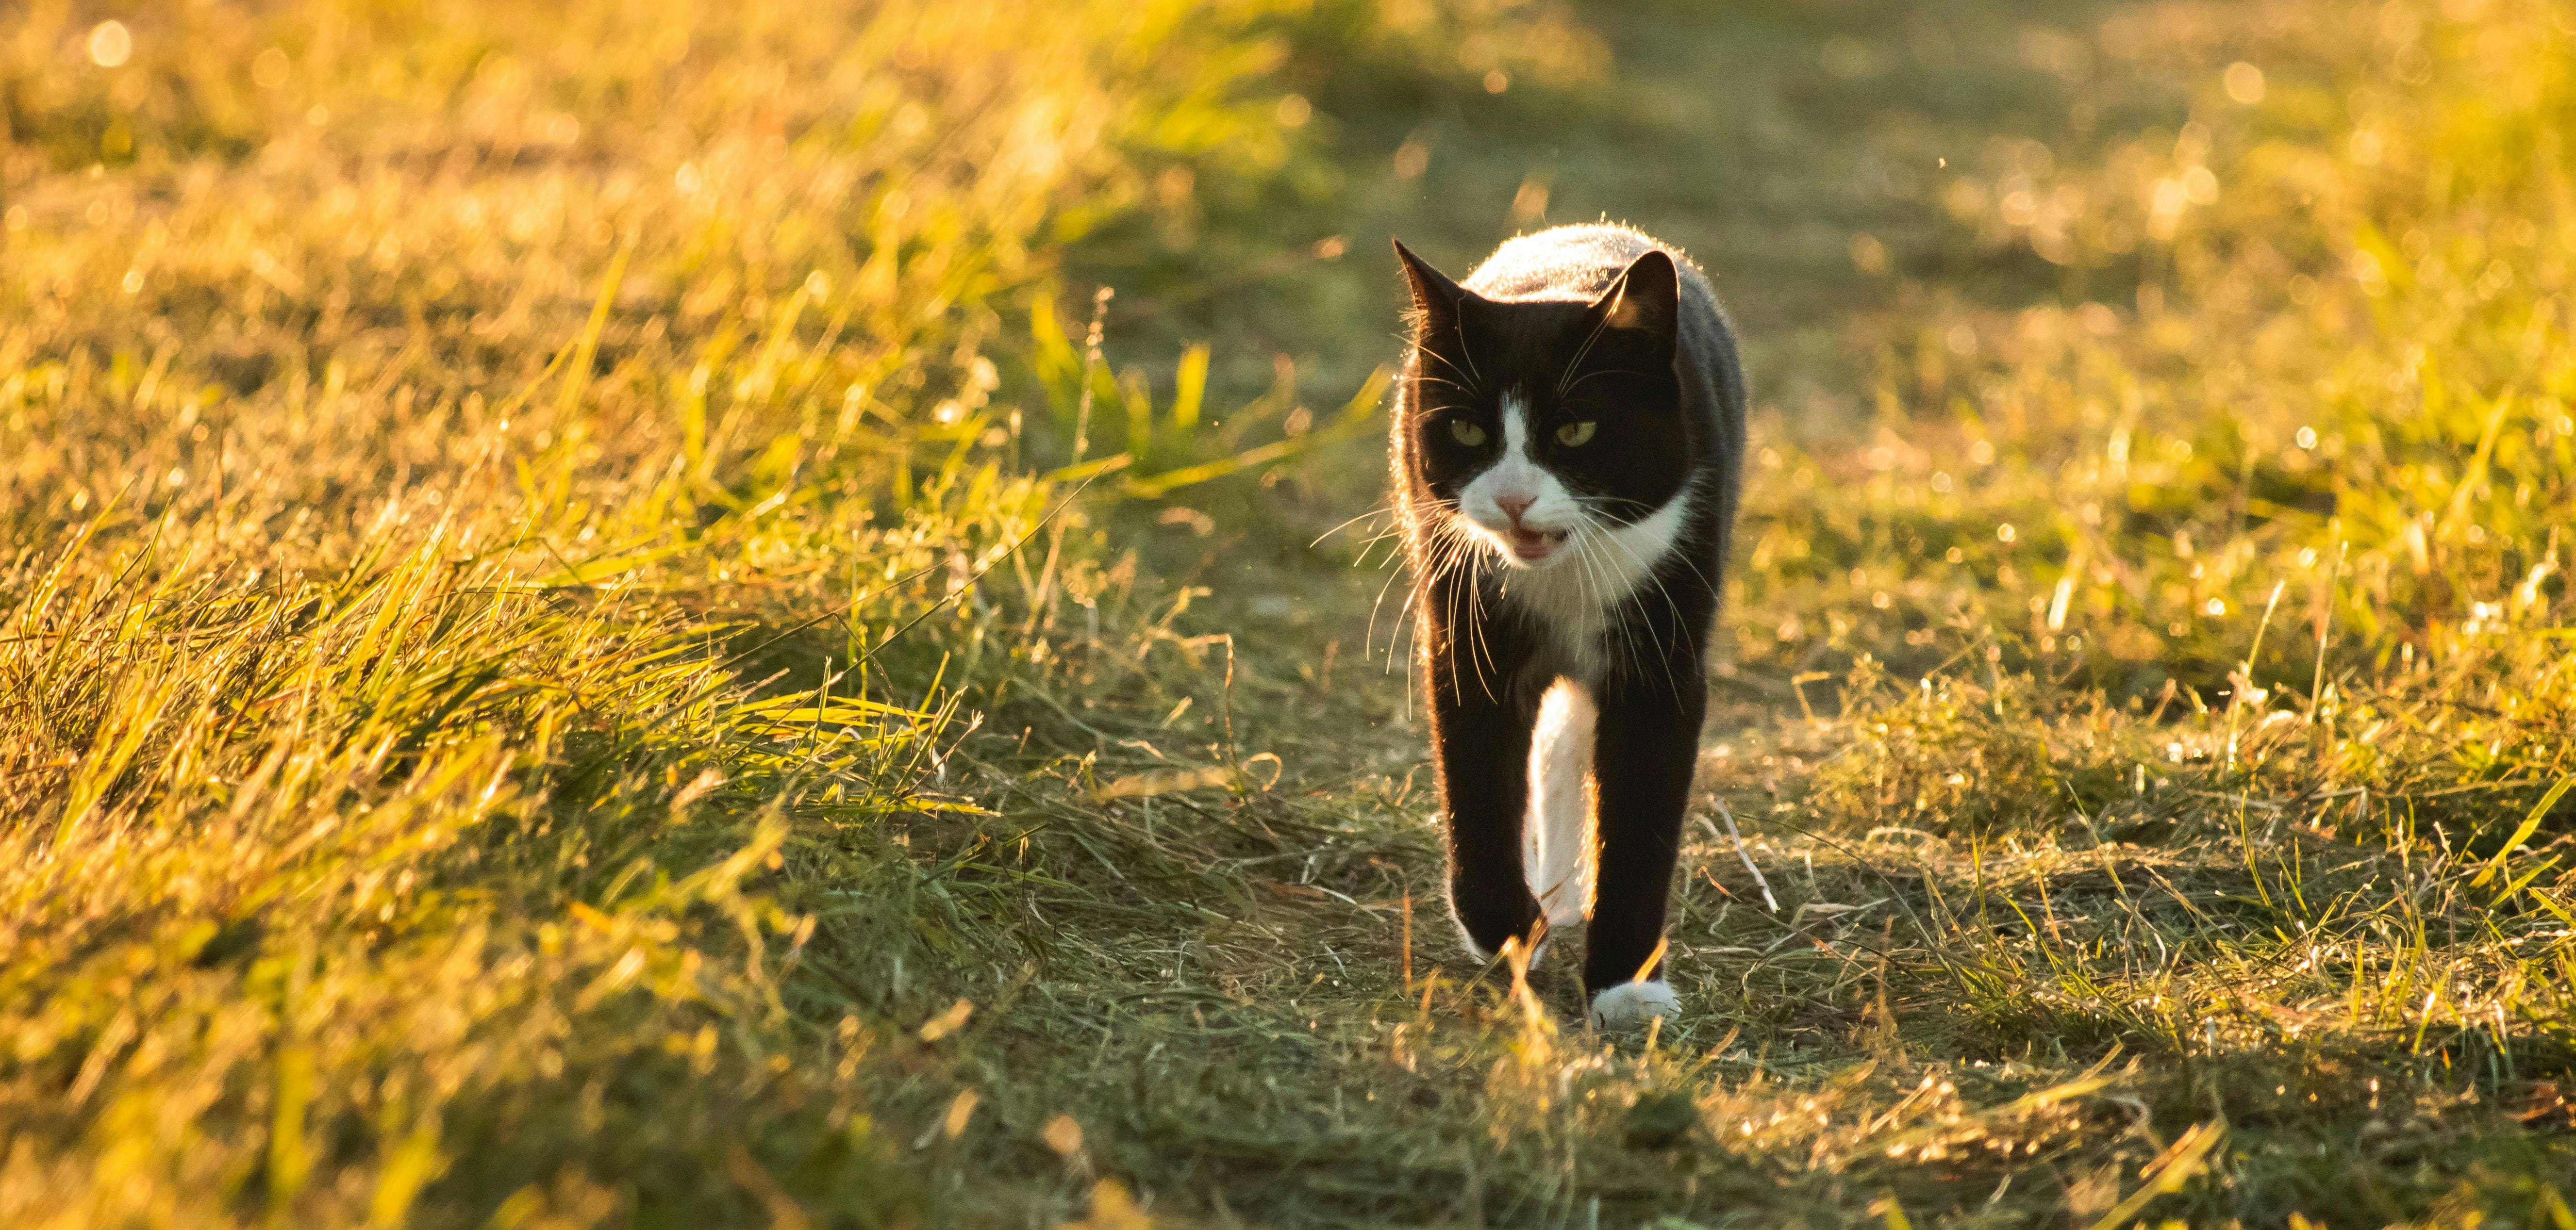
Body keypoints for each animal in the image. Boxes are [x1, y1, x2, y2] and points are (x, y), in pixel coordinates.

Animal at [1391, 224, 1751, 1029]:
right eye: (1466, 429)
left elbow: (1639, 819)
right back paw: (1546, 901)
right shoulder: (1466, 633)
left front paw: (1626, 987)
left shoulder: (1662, 657)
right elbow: (1476, 786)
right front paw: (1505, 926)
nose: (1513, 498)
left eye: (1577, 429)